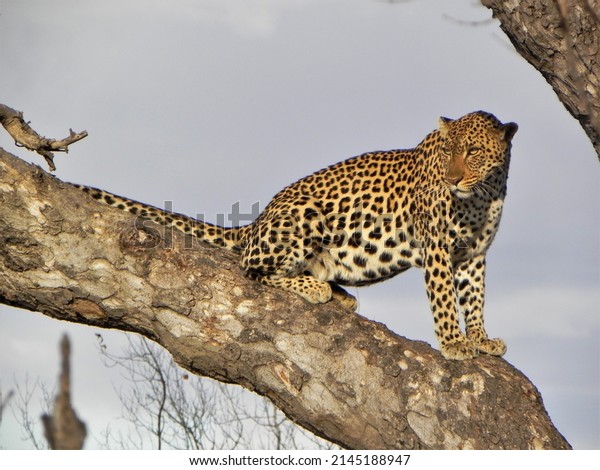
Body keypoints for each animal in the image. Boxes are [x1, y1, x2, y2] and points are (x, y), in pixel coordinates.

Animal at [74, 110, 516, 360]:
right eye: (447, 152)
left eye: (474, 152)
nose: (453, 179)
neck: (484, 192)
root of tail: (256, 222)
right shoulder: (438, 248)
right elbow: (444, 299)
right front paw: (455, 344)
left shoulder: (473, 255)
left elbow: (474, 299)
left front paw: (480, 338)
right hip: (304, 215)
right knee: (251, 268)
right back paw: (315, 288)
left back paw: (338, 293)